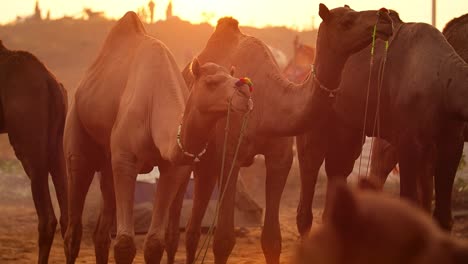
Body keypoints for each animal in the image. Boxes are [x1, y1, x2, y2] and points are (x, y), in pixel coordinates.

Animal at [62, 11, 254, 264]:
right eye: (211, 83)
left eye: (232, 77)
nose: (245, 91)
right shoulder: (125, 158)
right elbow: (124, 244)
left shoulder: (172, 168)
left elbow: (154, 243)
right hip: (77, 131)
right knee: (73, 229)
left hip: (107, 163)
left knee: (101, 233)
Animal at [163, 4, 394, 264]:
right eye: (346, 21)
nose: (384, 17)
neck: (268, 104)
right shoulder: (231, 156)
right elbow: (223, 240)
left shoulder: (280, 159)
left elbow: (272, 240)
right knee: (174, 228)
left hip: (208, 164)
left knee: (193, 229)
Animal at [298, 10, 468, 237]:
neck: (445, 84)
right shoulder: (408, 141)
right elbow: (409, 202)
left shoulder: (452, 141)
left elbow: (443, 219)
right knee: (310, 170)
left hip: (348, 131)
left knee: (339, 169)